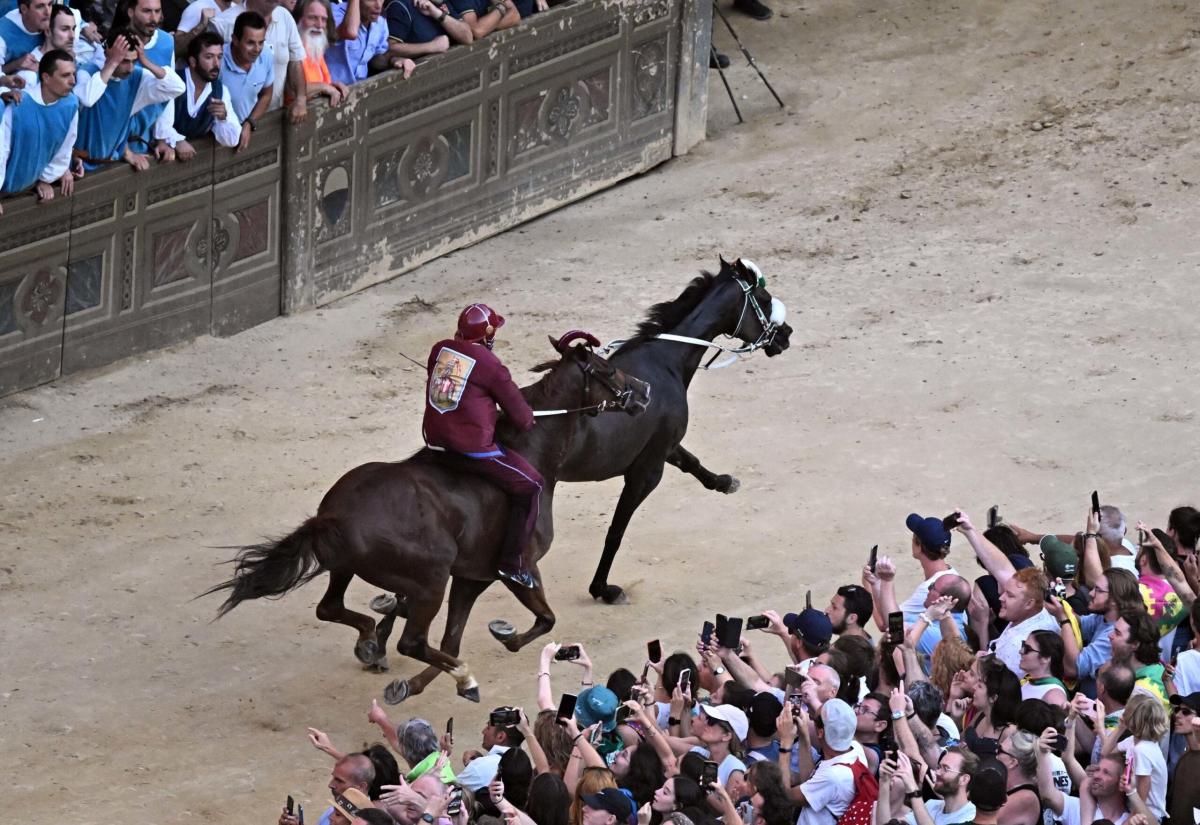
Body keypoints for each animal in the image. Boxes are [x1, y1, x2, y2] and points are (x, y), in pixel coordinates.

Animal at [201, 333, 652, 700]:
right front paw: (495, 645)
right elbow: (544, 619)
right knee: (412, 642)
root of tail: (336, 517)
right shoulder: (514, 570)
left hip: (347, 568)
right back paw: (456, 673)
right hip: (431, 581)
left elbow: (452, 640)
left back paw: (373, 642)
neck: (527, 447)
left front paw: (417, 675)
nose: (645, 390)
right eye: (608, 369)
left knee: (330, 609)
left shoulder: (471, 576)